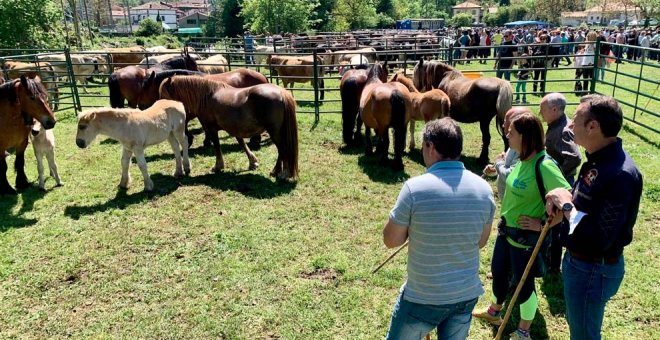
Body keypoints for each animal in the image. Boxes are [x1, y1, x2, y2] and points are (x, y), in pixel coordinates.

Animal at [159, 75, 298, 179]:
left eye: (164, 96)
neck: (207, 96)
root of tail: (282, 93)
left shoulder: (211, 129)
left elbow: (217, 146)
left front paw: (218, 166)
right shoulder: (234, 128)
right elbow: (242, 143)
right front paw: (252, 162)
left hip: (274, 132)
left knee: (283, 149)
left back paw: (284, 173)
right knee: (281, 151)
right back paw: (276, 171)